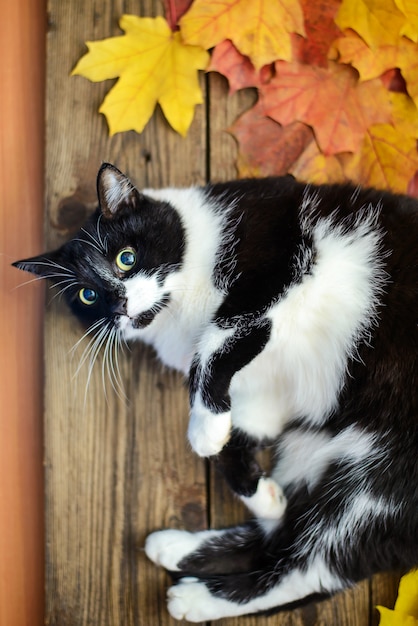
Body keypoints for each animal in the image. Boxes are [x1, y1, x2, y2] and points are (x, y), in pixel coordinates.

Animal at [14, 161, 418, 620]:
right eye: (87, 295)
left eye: (126, 258)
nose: (119, 306)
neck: (179, 312)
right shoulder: (266, 393)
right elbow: (237, 438)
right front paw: (263, 495)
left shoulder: (278, 259)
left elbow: (214, 341)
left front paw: (203, 431)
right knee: (285, 538)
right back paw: (179, 545)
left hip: (381, 484)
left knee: (310, 569)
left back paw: (195, 598)